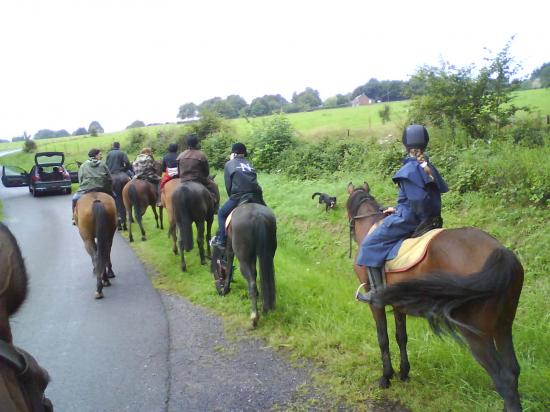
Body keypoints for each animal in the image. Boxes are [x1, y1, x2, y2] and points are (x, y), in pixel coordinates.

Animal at [350, 182, 528, 410]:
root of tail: (501, 253)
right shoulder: (398, 305)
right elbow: (401, 337)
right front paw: (404, 373)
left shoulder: (376, 304)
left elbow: (383, 339)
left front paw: (386, 377)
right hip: (503, 327)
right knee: (513, 370)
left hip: (477, 335)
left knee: (504, 378)